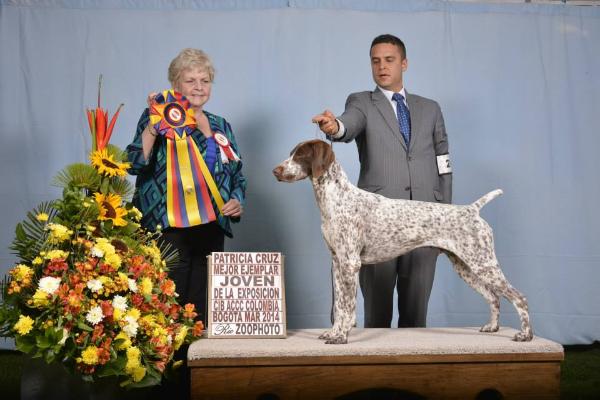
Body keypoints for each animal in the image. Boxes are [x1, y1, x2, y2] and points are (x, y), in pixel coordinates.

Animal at [274, 140, 532, 344]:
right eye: (291, 153)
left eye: (301, 155)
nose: (275, 170)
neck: (336, 199)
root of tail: (472, 209)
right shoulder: (338, 264)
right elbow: (339, 306)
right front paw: (333, 333)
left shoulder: (350, 264)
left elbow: (347, 307)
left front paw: (341, 336)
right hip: (466, 266)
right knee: (493, 297)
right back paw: (492, 327)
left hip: (483, 264)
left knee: (518, 297)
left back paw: (525, 335)